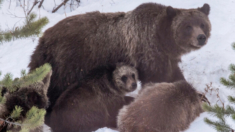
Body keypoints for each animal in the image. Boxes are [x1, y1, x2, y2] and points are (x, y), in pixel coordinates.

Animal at [28, 2, 211, 121]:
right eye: (187, 26)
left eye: (202, 24)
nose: (201, 37)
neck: (163, 40)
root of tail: (43, 39)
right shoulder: (148, 53)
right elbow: (157, 80)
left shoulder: (166, 59)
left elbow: (175, 76)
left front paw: (201, 96)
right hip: (69, 63)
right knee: (55, 89)